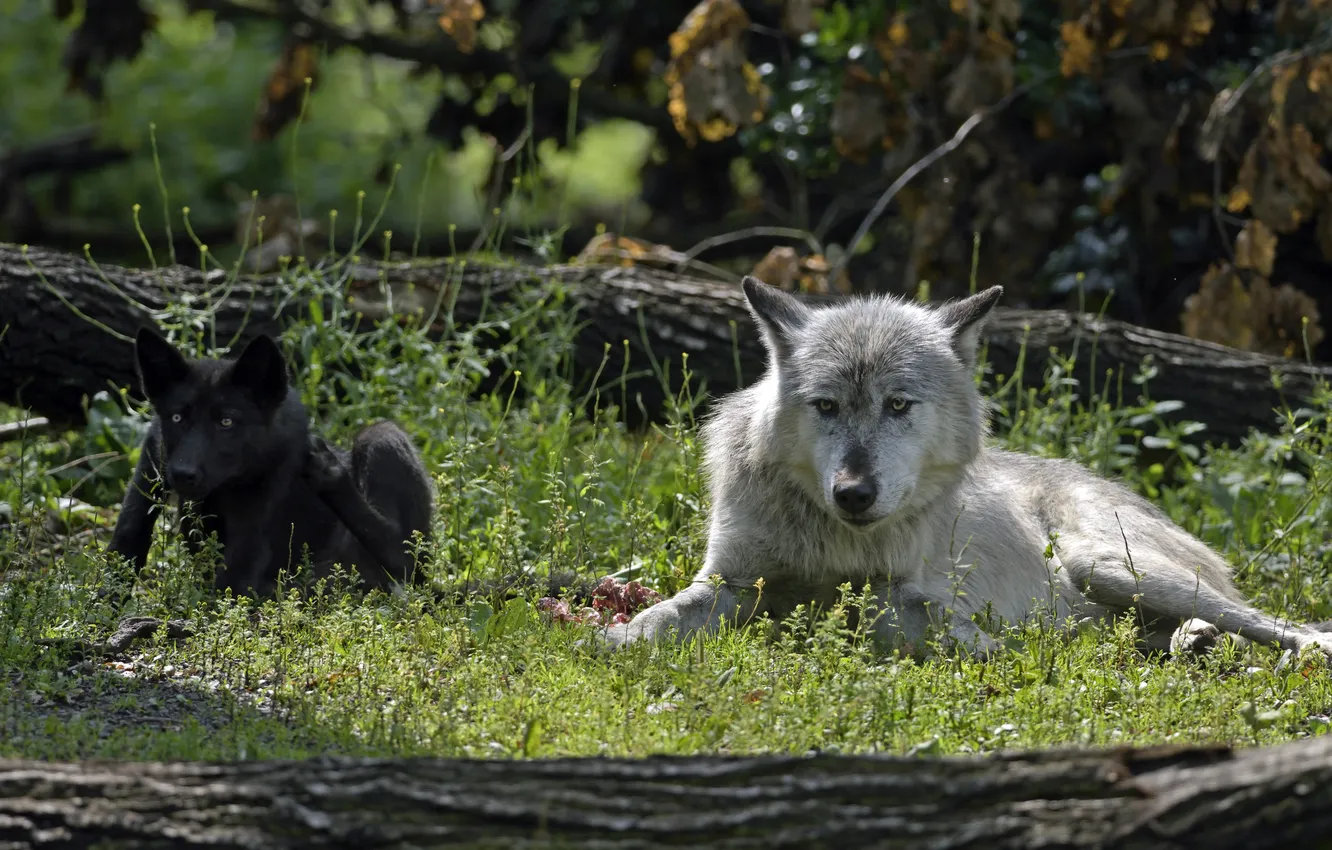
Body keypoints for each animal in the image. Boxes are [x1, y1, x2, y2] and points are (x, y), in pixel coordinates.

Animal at [107, 326, 436, 599]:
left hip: (382, 435)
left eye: (226, 422)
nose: (182, 474)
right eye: (177, 417)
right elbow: (125, 542)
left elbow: (229, 589)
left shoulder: (252, 532)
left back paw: (328, 470)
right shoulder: (151, 465)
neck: (224, 489)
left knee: (410, 563)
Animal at [602, 279, 1332, 666]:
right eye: (827, 406)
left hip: (1103, 563)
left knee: (1283, 624)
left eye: (898, 405)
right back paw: (1188, 643)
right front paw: (607, 636)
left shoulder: (906, 595)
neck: (838, 542)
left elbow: (886, 614)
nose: (854, 492)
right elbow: (654, 621)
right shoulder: (727, 582)